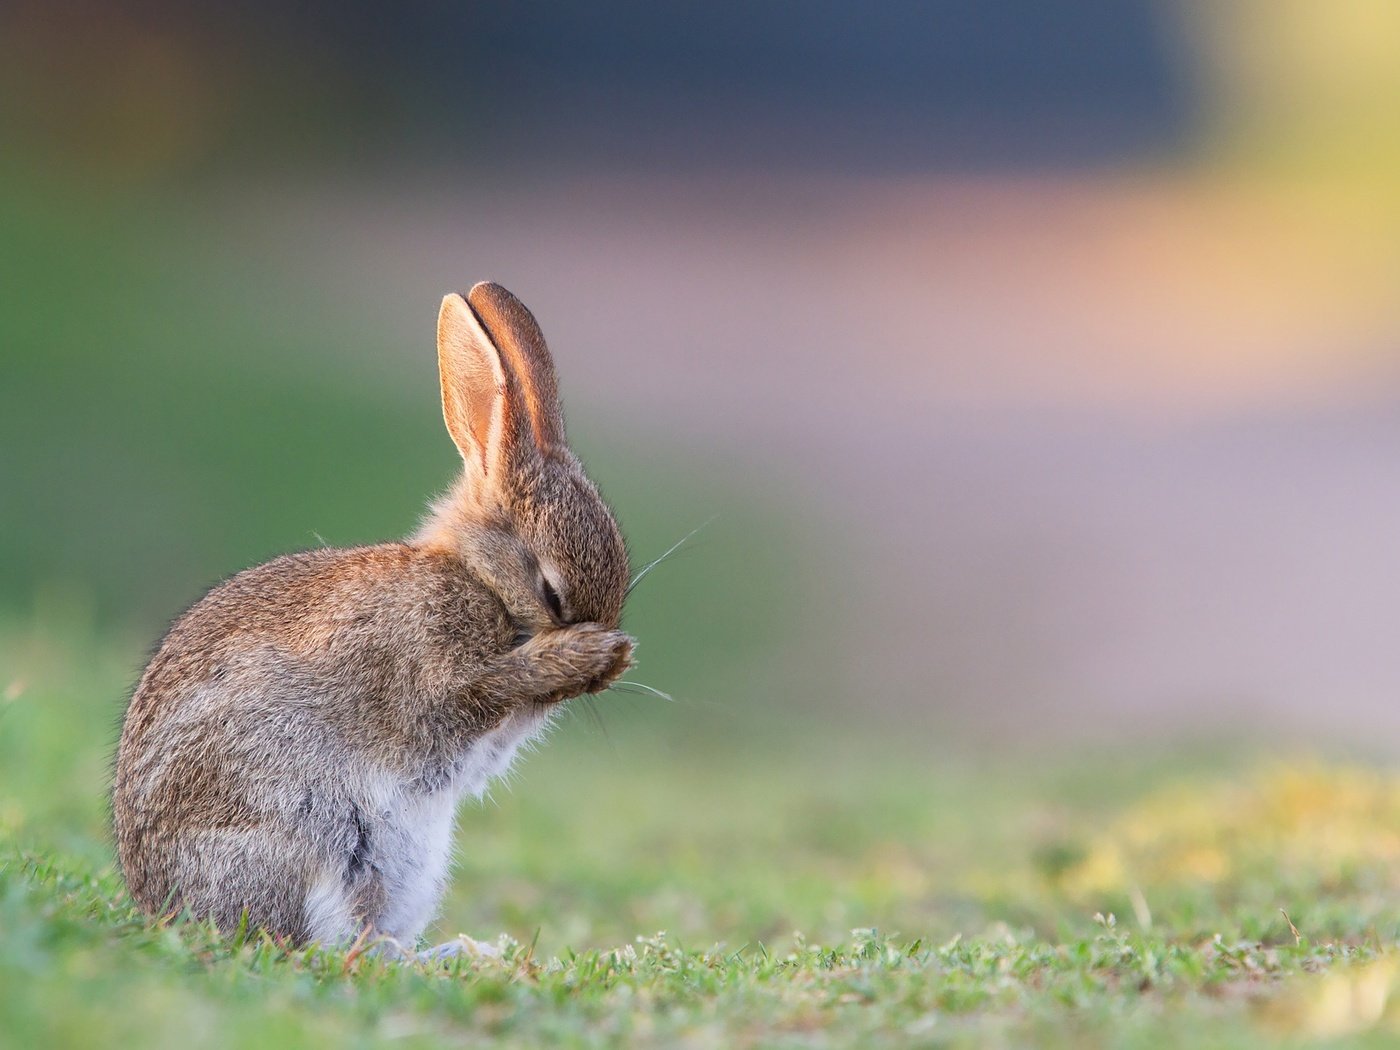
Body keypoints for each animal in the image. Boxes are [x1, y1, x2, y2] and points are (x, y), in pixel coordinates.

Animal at [113, 284, 635, 957]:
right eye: (551, 592)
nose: (607, 668)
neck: (478, 578)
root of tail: (164, 909)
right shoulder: (433, 675)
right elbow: (479, 692)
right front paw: (585, 655)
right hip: (310, 838)